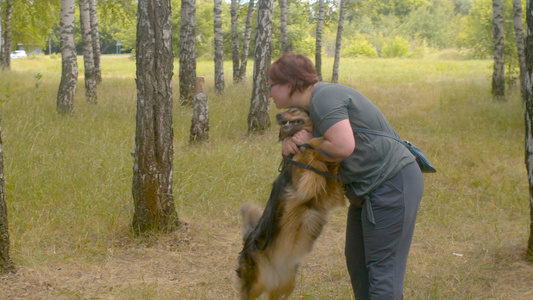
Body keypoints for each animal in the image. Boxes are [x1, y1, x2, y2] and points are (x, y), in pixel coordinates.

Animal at [234, 106, 344, 298]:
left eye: (293, 110)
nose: (278, 115)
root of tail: (248, 239)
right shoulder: (303, 184)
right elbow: (311, 147)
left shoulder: (326, 194)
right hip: (255, 283)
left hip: (286, 284)